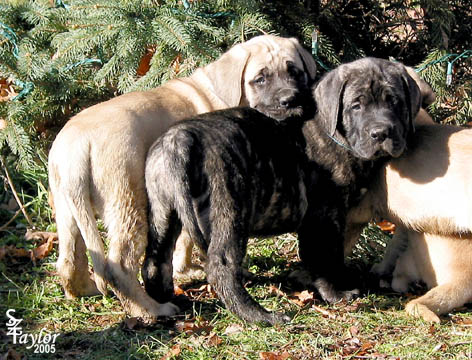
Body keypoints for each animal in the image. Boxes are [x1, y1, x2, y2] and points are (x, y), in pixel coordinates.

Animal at [143, 57, 420, 324]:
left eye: (395, 102)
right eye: (356, 106)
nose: (381, 132)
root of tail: (178, 140)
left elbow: (321, 256)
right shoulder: (325, 216)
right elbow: (326, 257)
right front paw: (336, 294)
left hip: (162, 211)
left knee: (156, 261)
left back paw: (168, 302)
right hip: (227, 210)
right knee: (221, 267)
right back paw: (259, 316)